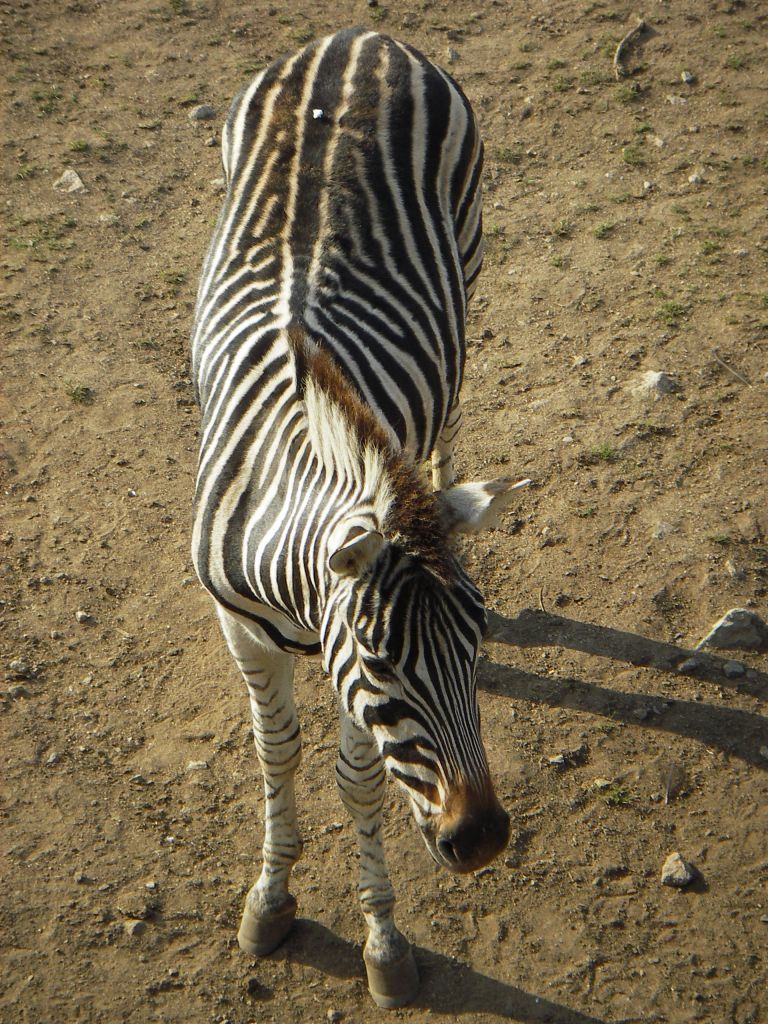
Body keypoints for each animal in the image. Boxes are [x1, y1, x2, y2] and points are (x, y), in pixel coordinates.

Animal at [192, 25, 528, 1007]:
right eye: (384, 659)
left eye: (478, 640)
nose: (483, 840)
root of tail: (359, 38)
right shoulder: (243, 630)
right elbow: (278, 756)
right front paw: (270, 898)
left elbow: (359, 782)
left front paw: (383, 943)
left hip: (469, 246)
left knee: (450, 410)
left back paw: (446, 485)